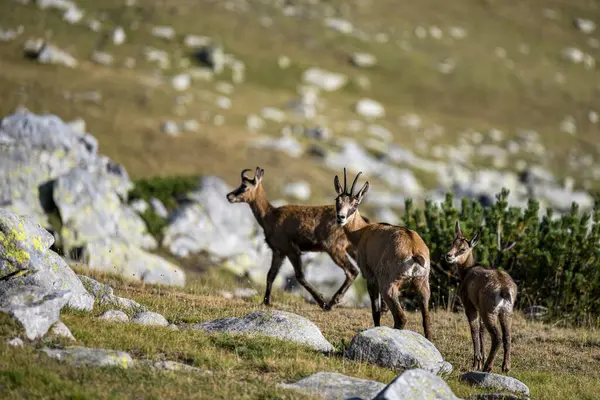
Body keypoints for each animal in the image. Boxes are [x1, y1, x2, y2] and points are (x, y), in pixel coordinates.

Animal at [225, 167, 368, 310]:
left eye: (244, 186)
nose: (229, 196)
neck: (270, 216)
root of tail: (361, 221)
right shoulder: (279, 252)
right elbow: (270, 275)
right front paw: (266, 302)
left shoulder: (292, 250)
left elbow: (300, 276)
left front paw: (321, 301)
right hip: (352, 249)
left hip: (334, 248)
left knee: (352, 271)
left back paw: (331, 303)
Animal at [332, 169, 432, 340]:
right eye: (337, 200)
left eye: (355, 203)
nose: (341, 217)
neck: (363, 231)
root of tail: (414, 250)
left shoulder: (371, 278)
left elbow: (376, 311)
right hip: (423, 286)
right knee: (426, 320)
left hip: (389, 287)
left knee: (401, 318)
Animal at [442, 220, 516, 374]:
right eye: (452, 243)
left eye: (463, 249)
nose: (448, 256)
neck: (468, 271)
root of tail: (504, 288)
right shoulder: (479, 308)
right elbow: (481, 331)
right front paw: (481, 360)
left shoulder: (470, 306)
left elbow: (474, 330)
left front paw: (476, 363)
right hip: (506, 313)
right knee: (507, 336)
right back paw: (505, 367)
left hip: (490, 312)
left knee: (497, 337)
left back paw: (488, 367)